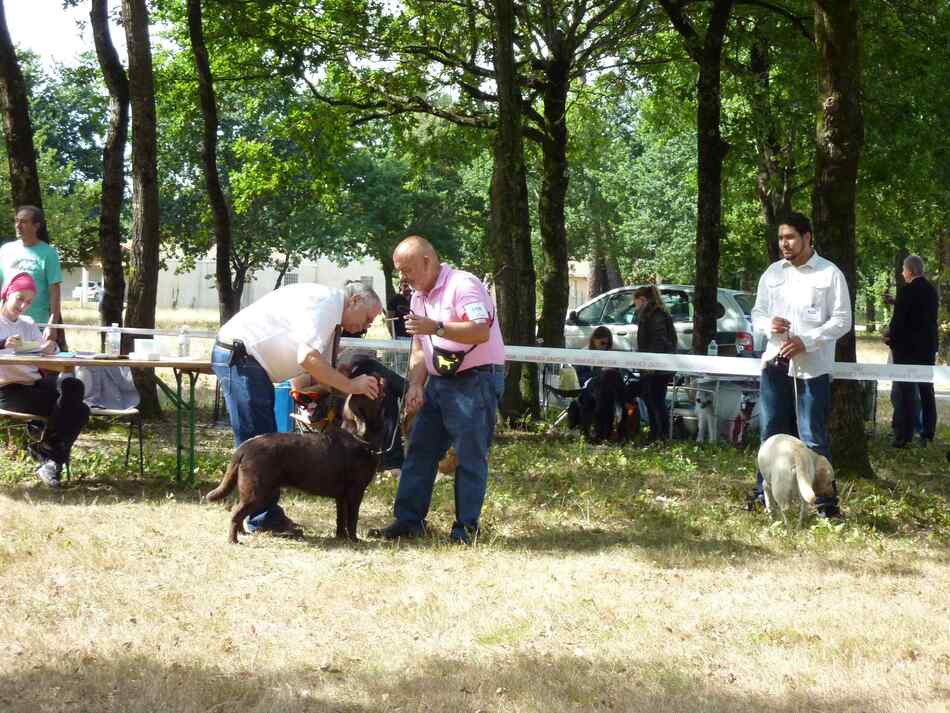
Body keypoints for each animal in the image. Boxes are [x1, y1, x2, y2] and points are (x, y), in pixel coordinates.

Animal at [207, 386, 386, 544]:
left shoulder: (341, 496)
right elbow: (353, 518)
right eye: (370, 392)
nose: (377, 376)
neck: (359, 438)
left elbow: (340, 518)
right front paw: (355, 540)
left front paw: (341, 537)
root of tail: (245, 447)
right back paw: (233, 540)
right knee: (236, 513)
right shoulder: (356, 491)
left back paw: (242, 533)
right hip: (256, 492)